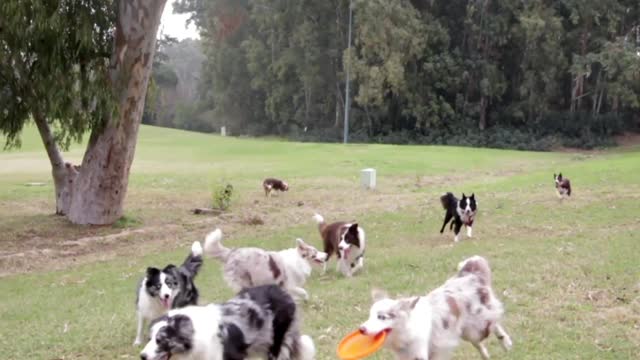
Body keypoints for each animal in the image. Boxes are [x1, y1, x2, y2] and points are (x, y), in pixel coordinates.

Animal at [360, 256, 516, 360]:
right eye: (369, 315)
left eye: (381, 317)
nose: (361, 329)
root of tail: (470, 275)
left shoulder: (419, 352)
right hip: (466, 331)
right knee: (479, 341)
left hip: (477, 325)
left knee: (493, 323)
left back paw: (505, 341)